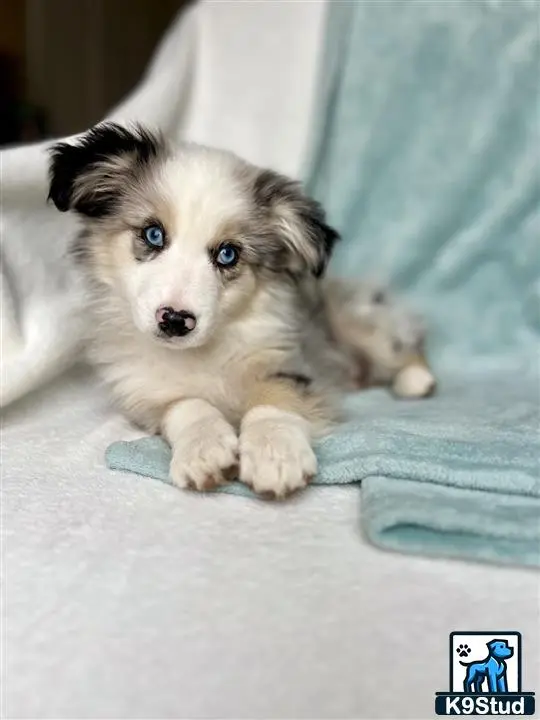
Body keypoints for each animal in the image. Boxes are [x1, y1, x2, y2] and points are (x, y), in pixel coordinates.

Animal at [46, 122, 434, 496]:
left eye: (227, 254)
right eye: (153, 234)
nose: (175, 321)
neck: (202, 352)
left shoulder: (290, 362)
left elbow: (273, 399)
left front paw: (275, 453)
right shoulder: (145, 394)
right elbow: (188, 404)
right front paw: (204, 449)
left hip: (357, 322)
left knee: (403, 341)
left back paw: (417, 380)